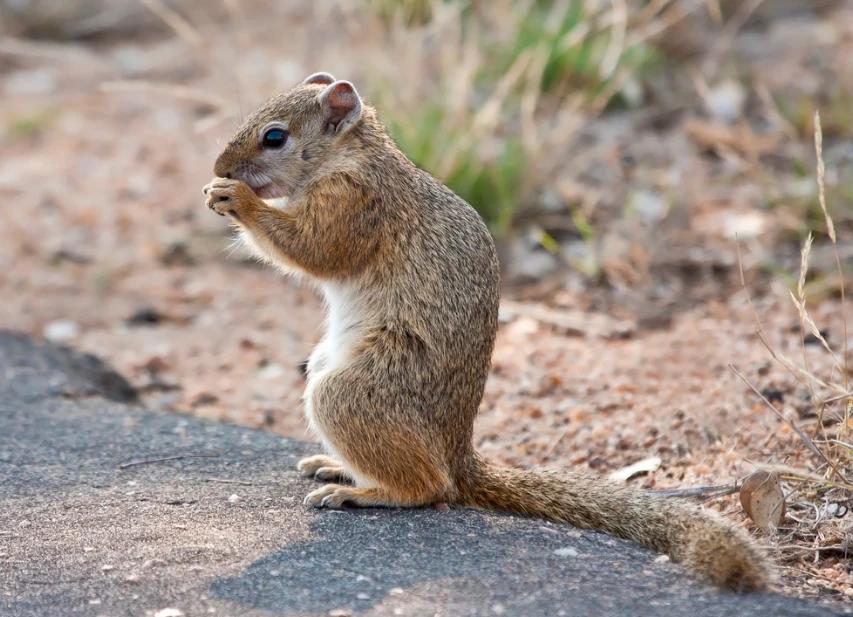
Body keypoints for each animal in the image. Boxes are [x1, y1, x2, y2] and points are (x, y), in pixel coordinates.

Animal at [205, 72, 772, 592]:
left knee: (428, 489)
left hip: (348, 394)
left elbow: (313, 249)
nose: (219, 169)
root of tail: (460, 458)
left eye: (275, 137)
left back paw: (361, 492)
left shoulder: (356, 205)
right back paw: (339, 467)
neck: (354, 157)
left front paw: (239, 200)